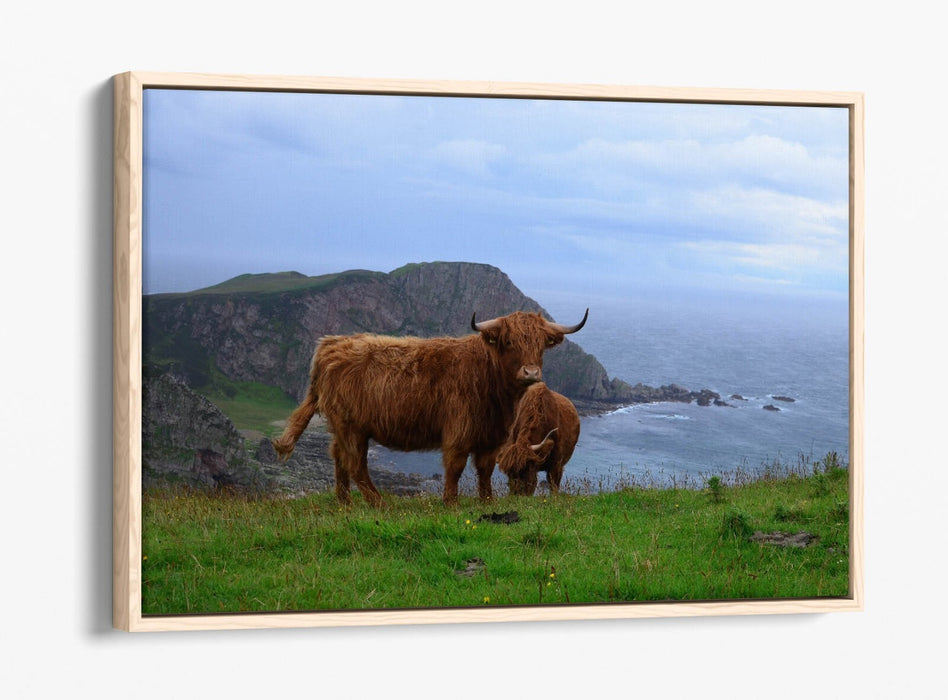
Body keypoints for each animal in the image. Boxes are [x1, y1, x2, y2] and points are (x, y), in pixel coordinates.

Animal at [271, 309, 588, 506]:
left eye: (541, 344)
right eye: (509, 341)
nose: (531, 373)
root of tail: (330, 344)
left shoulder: (492, 437)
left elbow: (485, 470)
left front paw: (486, 501)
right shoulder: (459, 431)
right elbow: (455, 467)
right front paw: (451, 502)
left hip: (341, 427)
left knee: (338, 458)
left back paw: (344, 502)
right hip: (352, 427)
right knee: (355, 463)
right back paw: (379, 503)